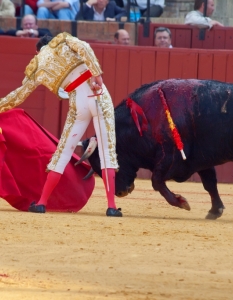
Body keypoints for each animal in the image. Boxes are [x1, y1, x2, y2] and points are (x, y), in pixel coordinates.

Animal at [78, 78, 233, 219]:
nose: (121, 192)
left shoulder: (171, 155)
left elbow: (156, 181)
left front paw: (181, 202)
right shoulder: (200, 158)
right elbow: (209, 182)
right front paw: (215, 211)